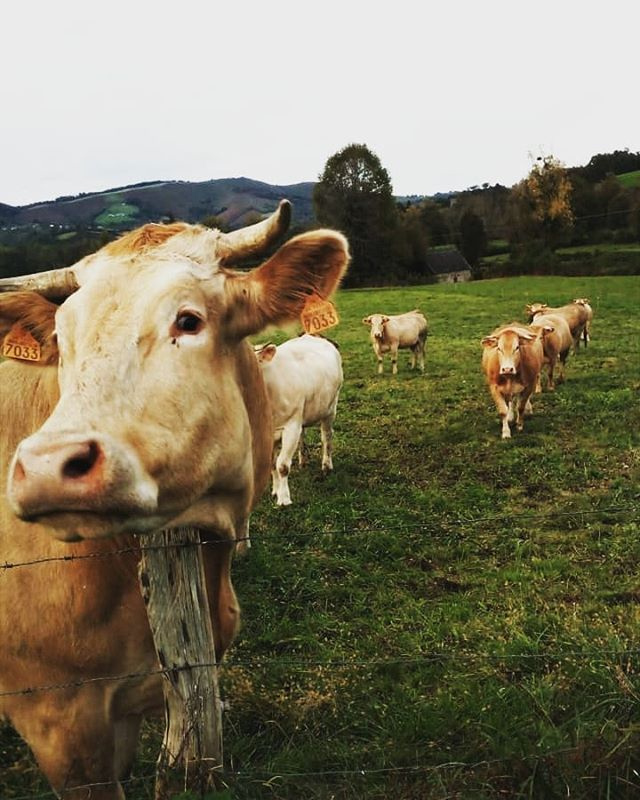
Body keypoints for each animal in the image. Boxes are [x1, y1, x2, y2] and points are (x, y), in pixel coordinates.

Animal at [254, 334, 343, 506]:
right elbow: (271, 464)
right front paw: (275, 491)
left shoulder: (291, 427)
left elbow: (282, 465)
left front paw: (284, 499)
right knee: (303, 435)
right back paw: (303, 460)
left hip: (331, 408)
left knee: (327, 437)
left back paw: (326, 465)